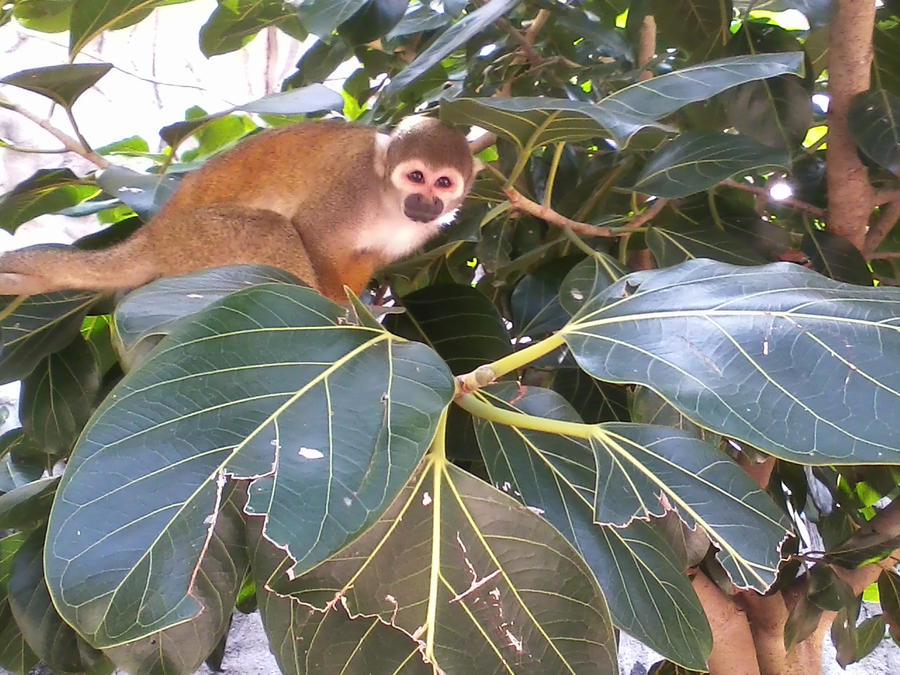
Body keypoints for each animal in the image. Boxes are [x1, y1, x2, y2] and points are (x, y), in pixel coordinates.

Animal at [0, 116, 477, 302]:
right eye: (415, 177)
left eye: (443, 183)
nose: (426, 203)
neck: (387, 201)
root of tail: (155, 235)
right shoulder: (351, 187)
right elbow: (314, 235)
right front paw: (337, 309)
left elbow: (363, 260)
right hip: (197, 241)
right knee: (273, 231)